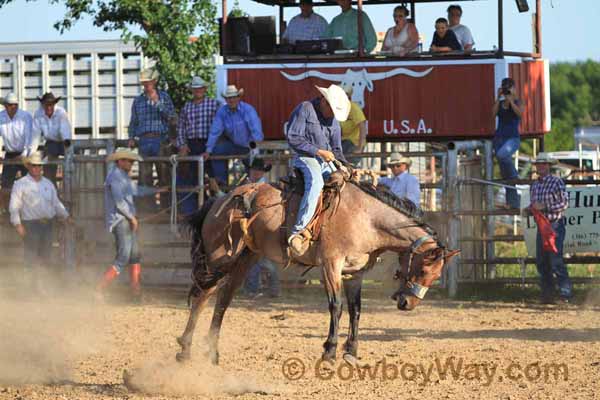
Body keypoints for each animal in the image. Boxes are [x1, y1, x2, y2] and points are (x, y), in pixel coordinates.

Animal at [176, 169, 458, 366]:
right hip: (220, 256)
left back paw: (212, 353)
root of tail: (218, 200)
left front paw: (351, 352)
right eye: (424, 270)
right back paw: (185, 350)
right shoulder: (331, 265)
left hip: (246, 258)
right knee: (203, 295)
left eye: (435, 275)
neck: (366, 218)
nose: (408, 304)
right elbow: (337, 306)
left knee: (223, 300)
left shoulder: (355, 273)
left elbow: (356, 310)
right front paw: (329, 352)